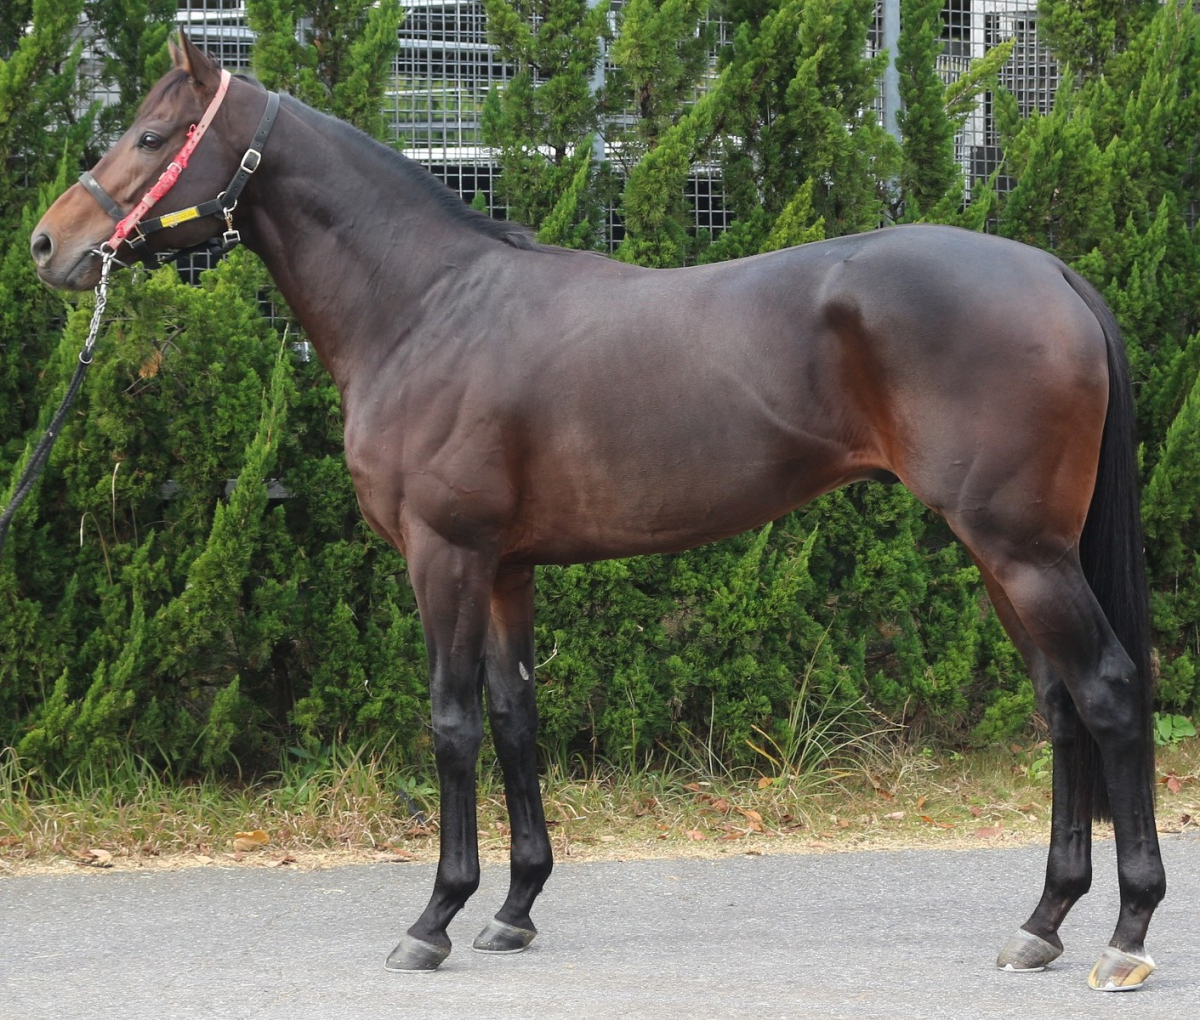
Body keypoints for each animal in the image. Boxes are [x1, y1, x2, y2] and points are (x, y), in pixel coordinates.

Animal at [30, 34, 1164, 990]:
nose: (49, 244)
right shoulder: (506, 567)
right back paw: (1043, 923)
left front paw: (434, 919)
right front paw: (515, 907)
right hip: (1006, 552)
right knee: (1062, 706)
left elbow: (451, 724)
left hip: (1021, 550)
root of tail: (1052, 270)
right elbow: (516, 717)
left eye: (151, 135)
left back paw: (1126, 934)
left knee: (1108, 692)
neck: (426, 307)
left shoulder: (444, 557)